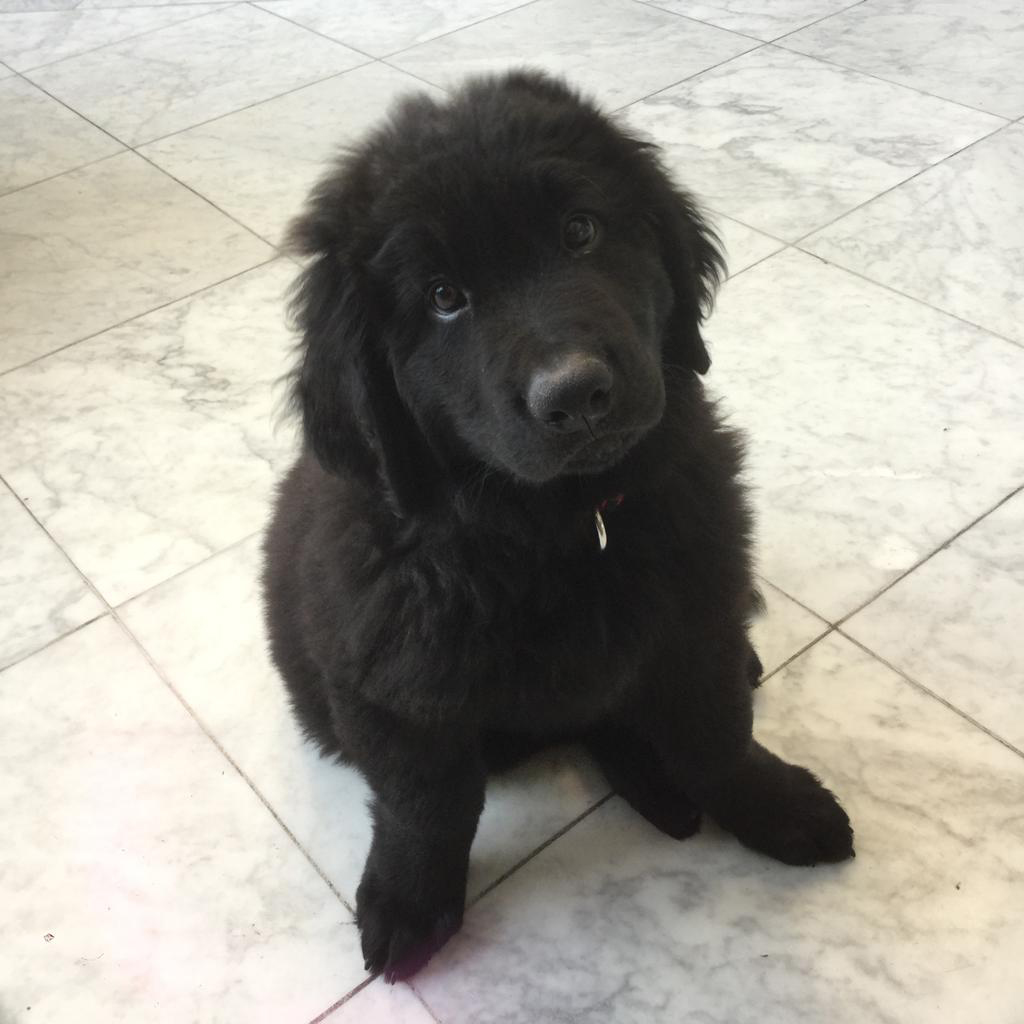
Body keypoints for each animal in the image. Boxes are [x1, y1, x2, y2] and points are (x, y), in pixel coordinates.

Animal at [262, 70, 853, 983]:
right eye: (444, 298)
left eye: (580, 232)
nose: (575, 393)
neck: (559, 529)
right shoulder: (390, 685)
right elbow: (424, 803)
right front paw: (408, 902)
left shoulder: (693, 622)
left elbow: (717, 734)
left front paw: (777, 805)